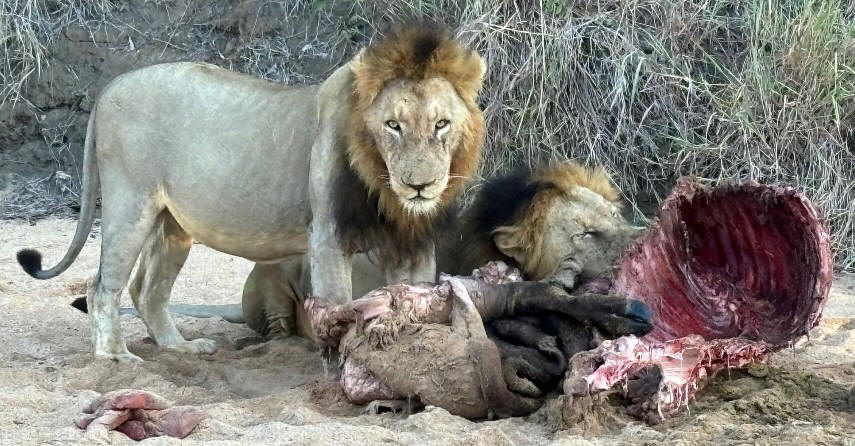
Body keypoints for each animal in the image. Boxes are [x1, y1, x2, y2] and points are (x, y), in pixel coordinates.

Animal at [16, 23, 488, 362]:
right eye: (393, 125)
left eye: (441, 124)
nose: (419, 185)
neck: (383, 187)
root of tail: (109, 87)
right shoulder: (328, 235)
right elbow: (338, 309)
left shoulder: (411, 244)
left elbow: (419, 305)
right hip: (129, 205)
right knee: (102, 286)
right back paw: (116, 357)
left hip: (173, 226)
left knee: (147, 291)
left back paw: (180, 348)